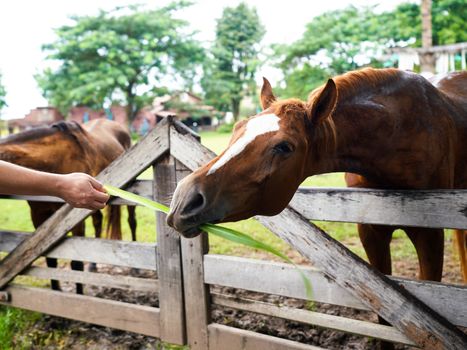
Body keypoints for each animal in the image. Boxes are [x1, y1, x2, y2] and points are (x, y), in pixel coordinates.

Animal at [0, 119, 137, 294]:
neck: (53, 161)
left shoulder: (75, 219)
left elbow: (76, 263)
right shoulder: (38, 215)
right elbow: (51, 261)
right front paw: (55, 290)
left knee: (131, 221)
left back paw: (135, 268)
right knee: (98, 222)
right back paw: (93, 266)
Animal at [168, 67, 467, 286]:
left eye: (284, 147)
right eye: (238, 127)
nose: (183, 200)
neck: (399, 131)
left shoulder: (430, 235)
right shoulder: (370, 232)